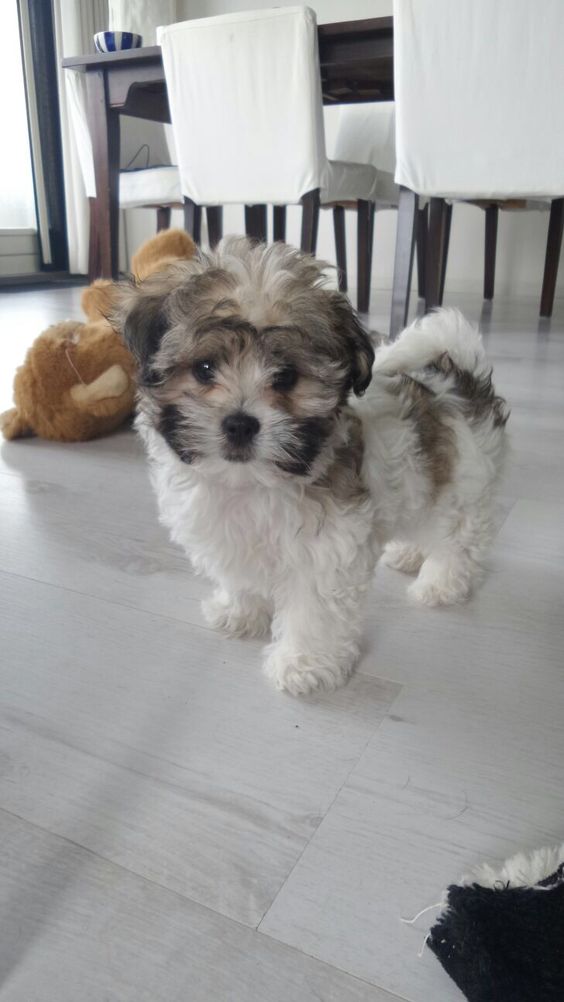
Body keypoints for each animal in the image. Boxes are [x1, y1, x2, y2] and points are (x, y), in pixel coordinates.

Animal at [112, 239, 508, 701]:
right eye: (204, 368)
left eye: (286, 377)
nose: (240, 423)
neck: (250, 483)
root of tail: (460, 379)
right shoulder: (228, 535)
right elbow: (240, 576)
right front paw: (240, 612)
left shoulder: (327, 550)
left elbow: (313, 611)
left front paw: (302, 664)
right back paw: (408, 553)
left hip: (463, 489)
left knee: (457, 540)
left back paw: (441, 583)